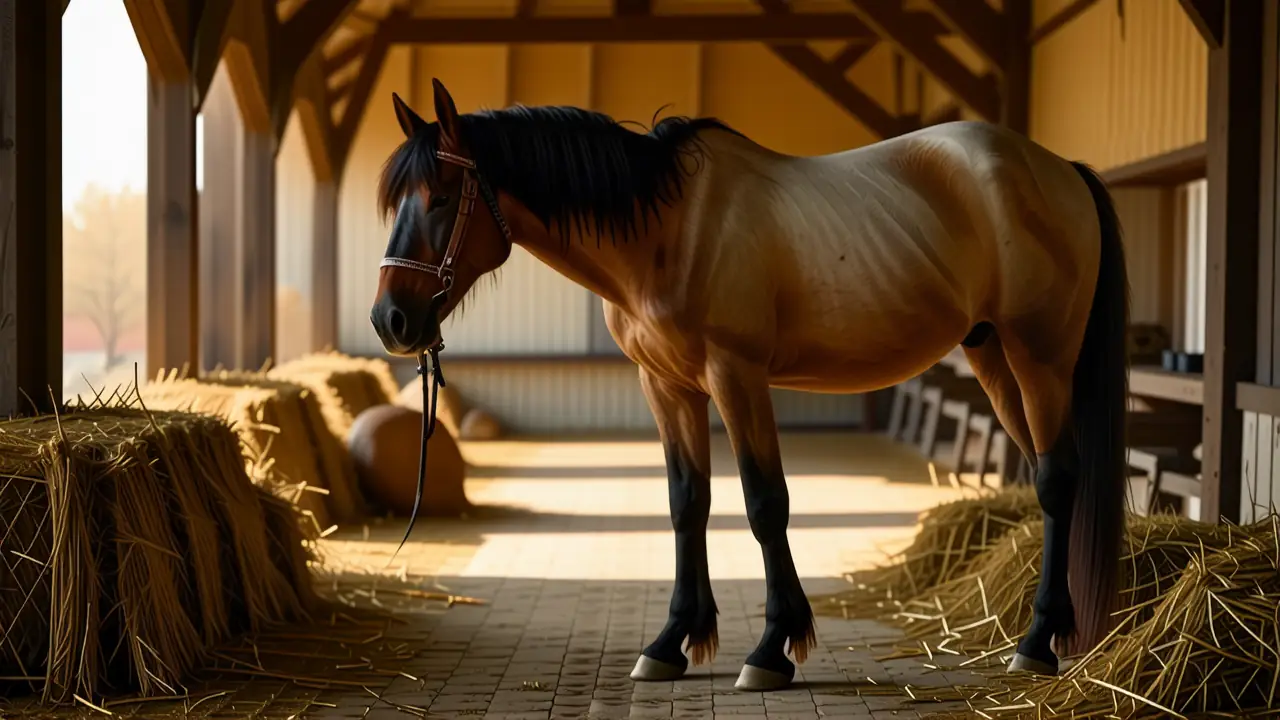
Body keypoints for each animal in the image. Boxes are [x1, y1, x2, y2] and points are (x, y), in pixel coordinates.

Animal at [370, 78, 1129, 692]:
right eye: (397, 202)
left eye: (441, 198)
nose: (391, 321)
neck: (666, 230)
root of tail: (1060, 169)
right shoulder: (666, 387)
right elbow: (687, 504)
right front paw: (671, 643)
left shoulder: (736, 376)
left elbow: (765, 504)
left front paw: (771, 649)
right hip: (995, 355)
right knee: (1042, 474)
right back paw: (1050, 633)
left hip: (1040, 356)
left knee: (1056, 478)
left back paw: (1036, 643)